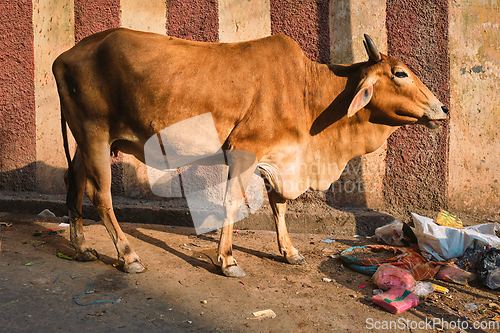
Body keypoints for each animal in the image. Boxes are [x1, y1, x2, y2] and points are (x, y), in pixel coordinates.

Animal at [52, 28, 448, 276]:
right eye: (400, 73)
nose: (442, 109)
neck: (308, 92)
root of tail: (65, 55)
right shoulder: (243, 150)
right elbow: (231, 203)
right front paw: (226, 261)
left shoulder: (281, 157)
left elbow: (279, 205)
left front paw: (289, 252)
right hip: (96, 134)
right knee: (100, 195)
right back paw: (129, 256)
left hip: (85, 140)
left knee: (73, 182)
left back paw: (81, 248)